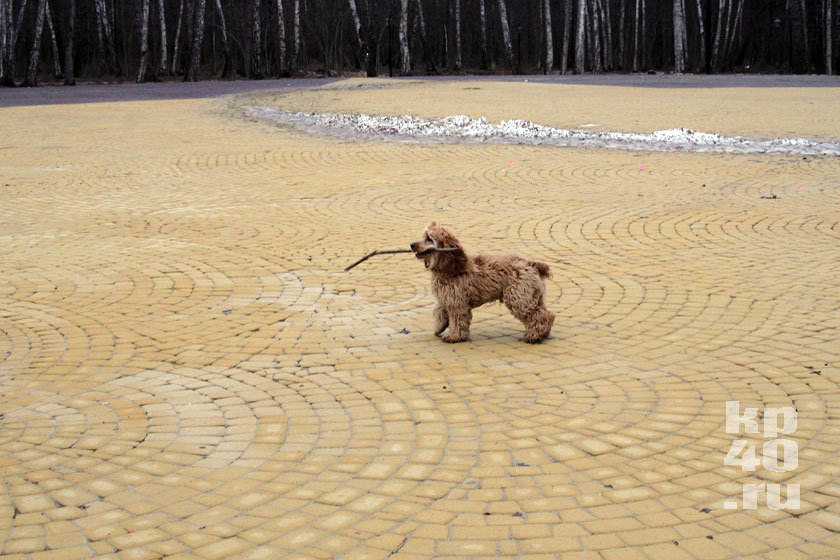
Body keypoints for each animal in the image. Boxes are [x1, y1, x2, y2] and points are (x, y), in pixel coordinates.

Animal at [411, 222, 555, 343]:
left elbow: (457, 320)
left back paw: (535, 335)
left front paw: (454, 336)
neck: (450, 265)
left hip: (519, 298)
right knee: (548, 314)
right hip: (533, 296)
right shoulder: (446, 297)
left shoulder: (457, 302)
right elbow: (439, 310)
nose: (412, 245)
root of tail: (531, 264)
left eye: (429, 238)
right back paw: (543, 333)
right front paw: (439, 327)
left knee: (539, 316)